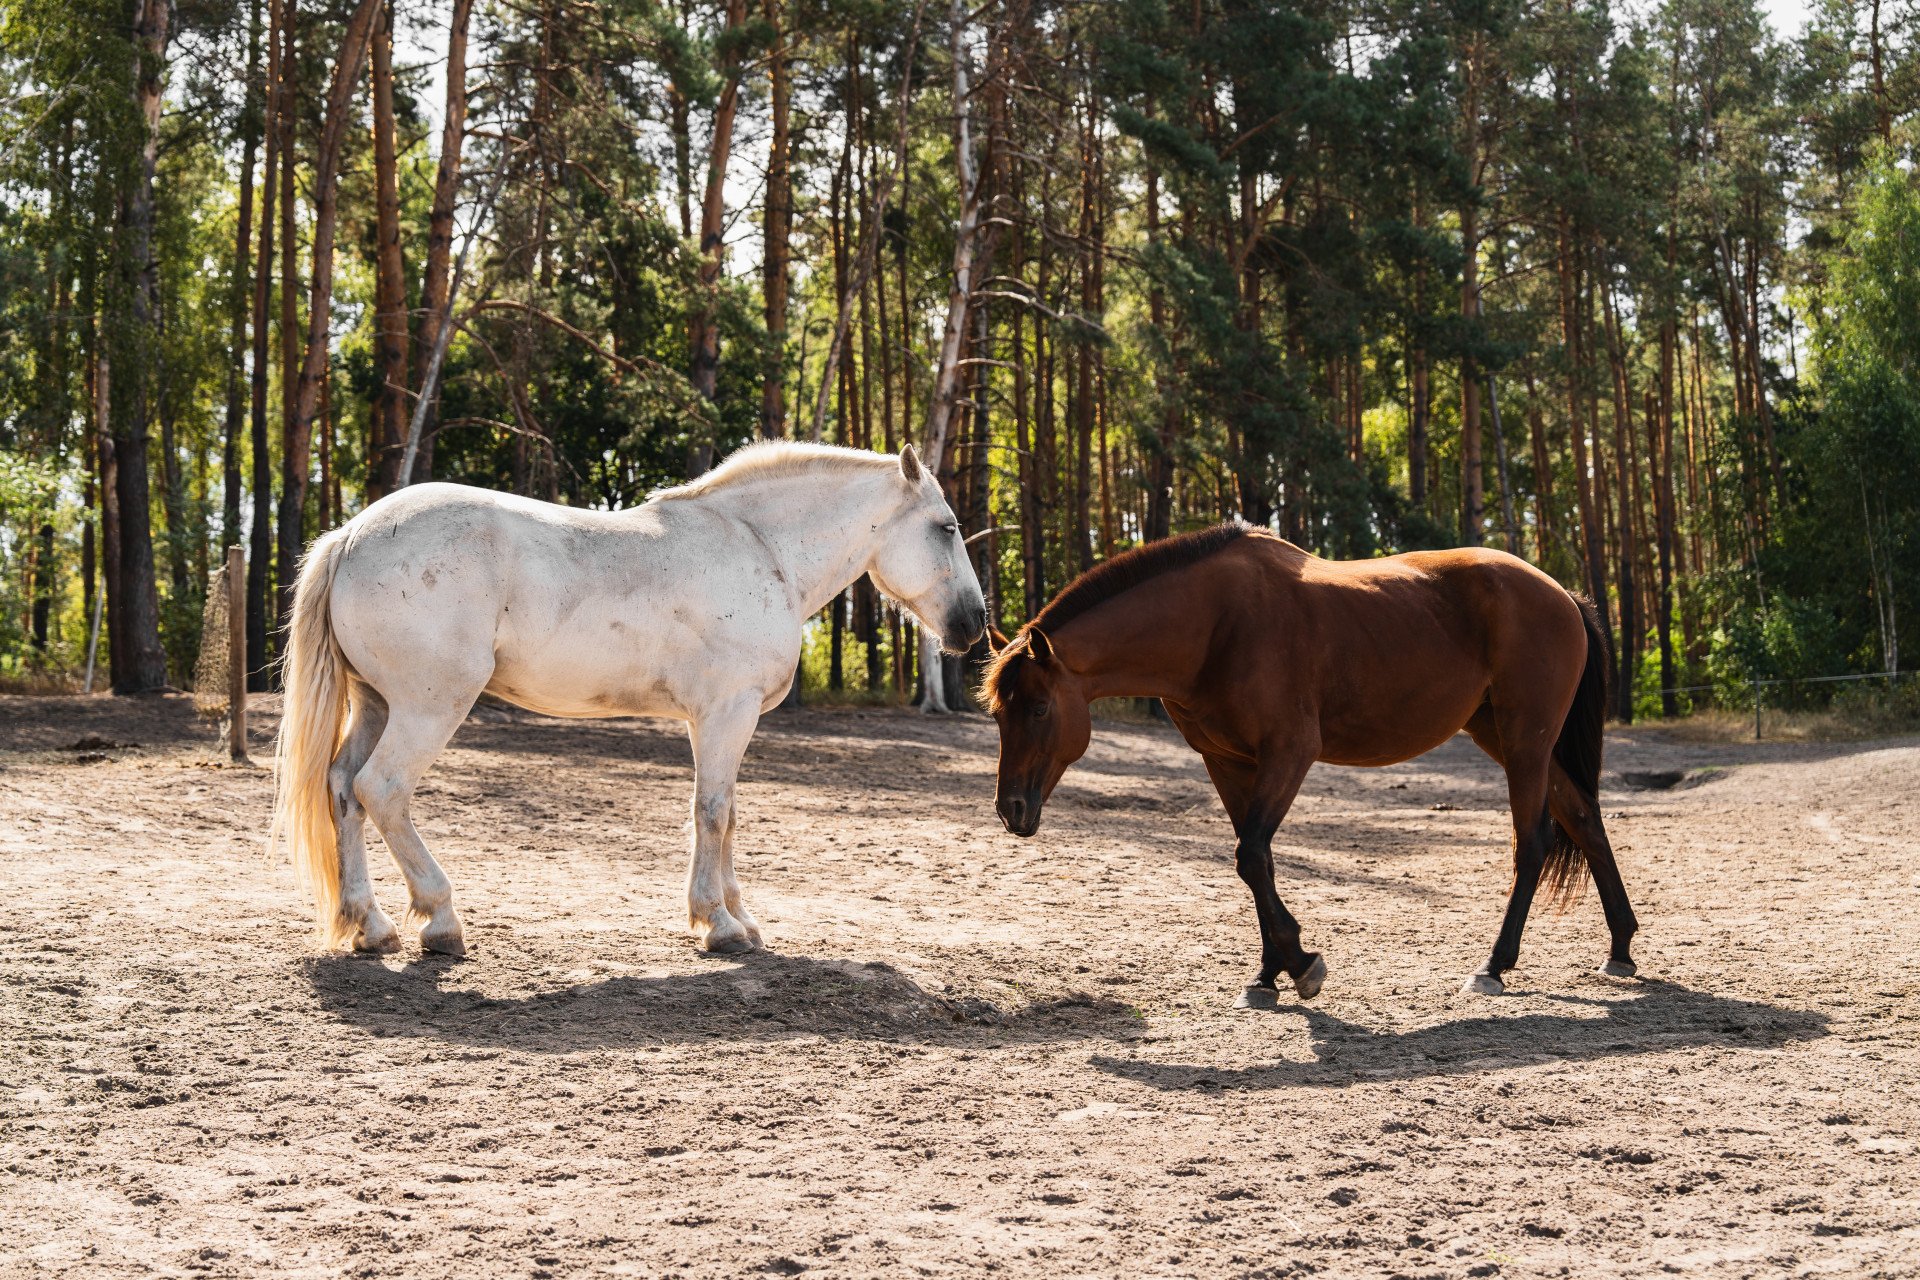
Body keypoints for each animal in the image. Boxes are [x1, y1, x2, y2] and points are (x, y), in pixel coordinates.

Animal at [272, 441, 987, 957]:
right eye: (947, 527)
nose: (974, 624)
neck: (762, 550)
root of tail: (350, 536)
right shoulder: (728, 713)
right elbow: (712, 813)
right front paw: (719, 926)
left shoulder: (716, 720)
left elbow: (726, 815)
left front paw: (739, 917)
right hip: (428, 708)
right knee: (382, 789)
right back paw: (441, 920)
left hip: (377, 704)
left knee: (342, 789)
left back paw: (371, 926)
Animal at [981, 523, 1638, 1001]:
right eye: (996, 712)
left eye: (1038, 707)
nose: (1011, 809)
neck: (1216, 624)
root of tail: (1562, 594)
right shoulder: (1227, 763)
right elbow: (1258, 861)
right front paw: (1268, 974)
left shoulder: (1289, 754)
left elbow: (1251, 855)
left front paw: (1301, 963)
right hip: (1503, 736)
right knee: (1583, 818)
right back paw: (1621, 948)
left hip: (1525, 742)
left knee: (1533, 842)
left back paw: (1494, 966)